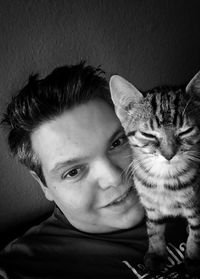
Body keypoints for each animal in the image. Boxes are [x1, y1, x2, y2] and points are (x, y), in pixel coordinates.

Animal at [110, 71, 200, 276]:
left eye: (186, 131)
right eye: (149, 135)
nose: (169, 154)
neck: (164, 177)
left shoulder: (198, 206)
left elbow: (197, 233)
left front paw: (193, 259)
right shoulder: (150, 205)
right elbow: (153, 229)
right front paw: (157, 254)